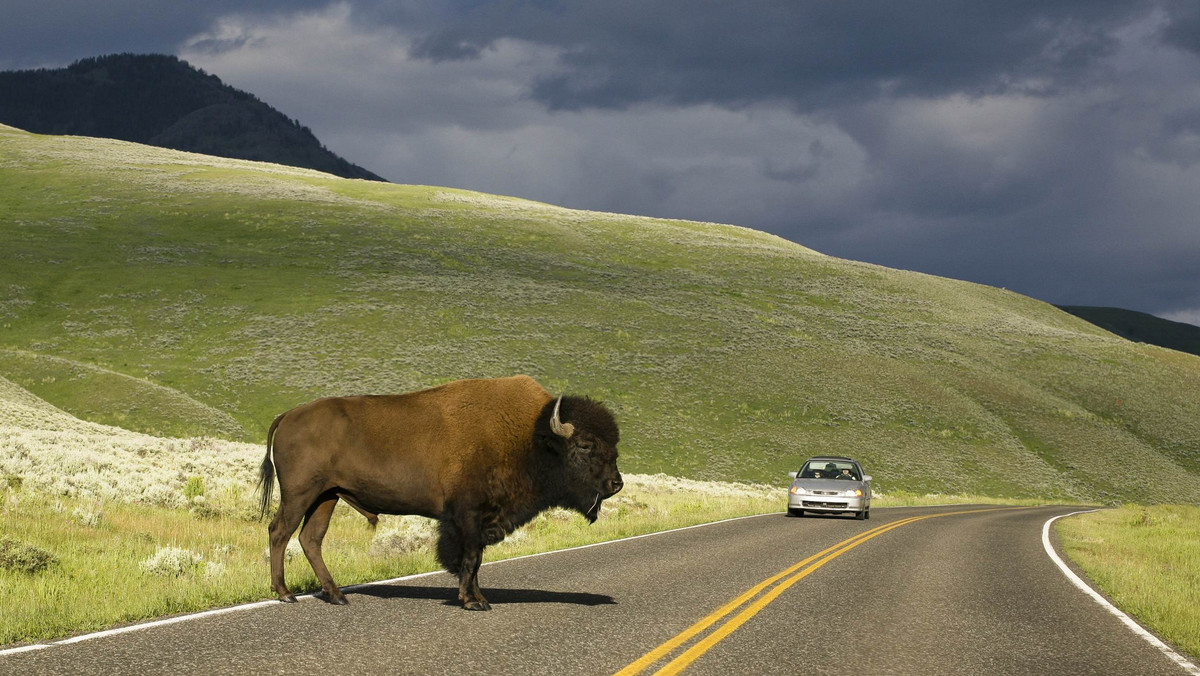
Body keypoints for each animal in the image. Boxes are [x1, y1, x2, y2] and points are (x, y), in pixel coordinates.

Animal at [258, 379, 624, 609]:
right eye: (585, 445)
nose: (616, 484)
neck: (531, 438)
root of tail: (288, 415)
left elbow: (474, 561)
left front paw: (478, 597)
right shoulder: (467, 515)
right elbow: (470, 558)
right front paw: (474, 602)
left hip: (327, 496)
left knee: (310, 538)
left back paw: (336, 595)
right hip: (301, 494)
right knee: (280, 532)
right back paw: (286, 594)